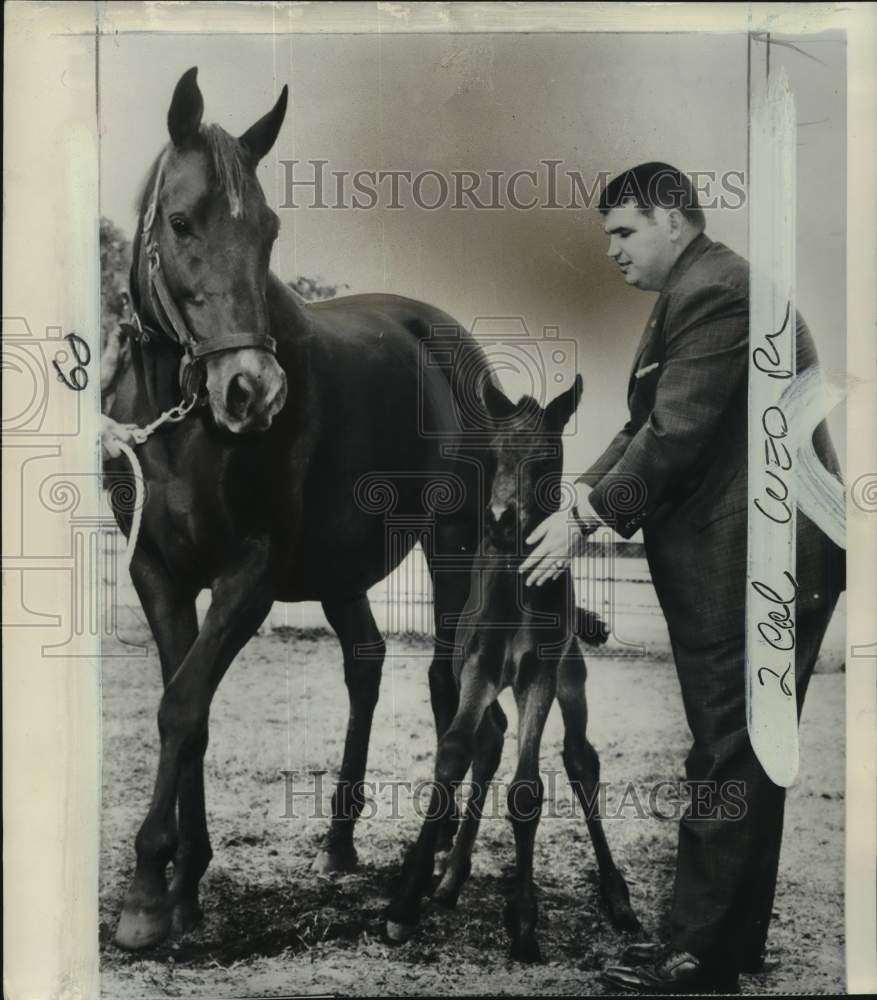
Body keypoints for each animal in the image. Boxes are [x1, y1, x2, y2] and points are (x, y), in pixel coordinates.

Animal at [103, 68, 496, 944]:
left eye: (270, 231)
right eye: (181, 220)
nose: (253, 391)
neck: (178, 421)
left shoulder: (249, 573)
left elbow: (183, 706)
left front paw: (146, 892)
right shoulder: (158, 572)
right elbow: (187, 709)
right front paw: (185, 882)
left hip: (454, 547)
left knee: (453, 690)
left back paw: (438, 862)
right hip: (343, 570)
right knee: (367, 663)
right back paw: (342, 840)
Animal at [384, 376, 636, 960]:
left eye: (546, 458)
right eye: (495, 454)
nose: (500, 520)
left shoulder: (537, 676)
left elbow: (526, 788)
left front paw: (523, 918)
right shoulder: (479, 667)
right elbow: (454, 753)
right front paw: (406, 904)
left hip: (571, 679)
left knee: (580, 759)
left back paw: (617, 897)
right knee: (490, 740)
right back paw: (451, 878)